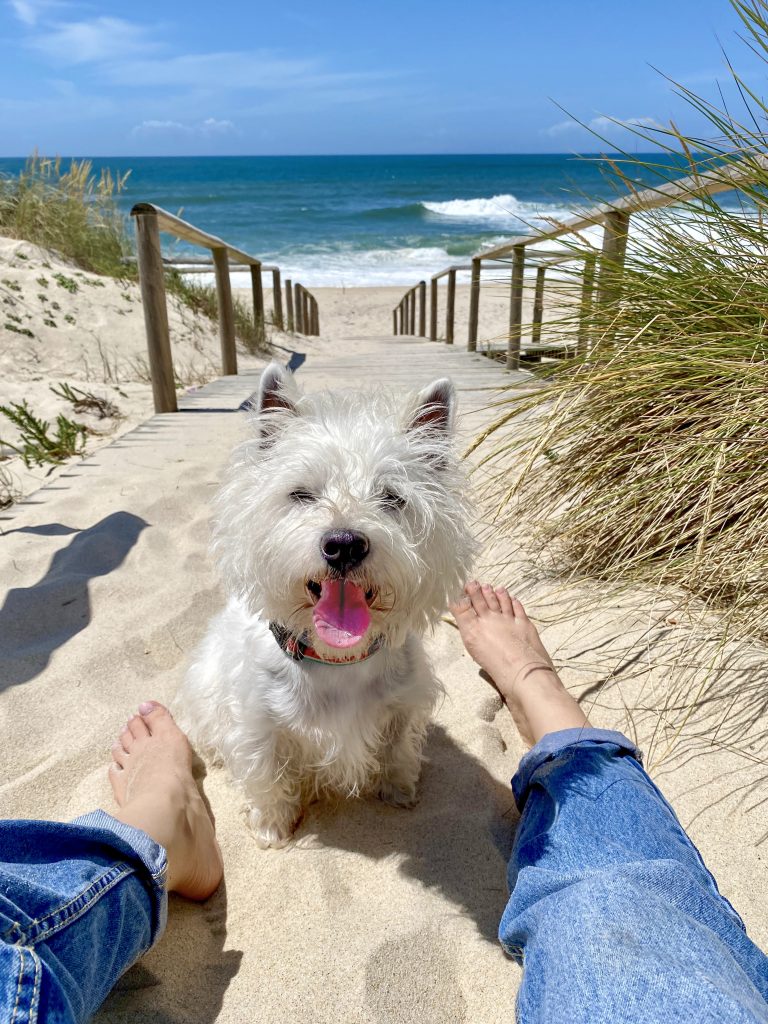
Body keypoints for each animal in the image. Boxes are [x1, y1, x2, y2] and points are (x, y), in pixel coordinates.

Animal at [178, 364, 475, 843]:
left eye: (392, 497)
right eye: (301, 494)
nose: (344, 544)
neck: (338, 660)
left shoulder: (404, 704)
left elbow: (397, 748)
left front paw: (398, 790)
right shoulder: (258, 723)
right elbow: (266, 772)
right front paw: (273, 826)